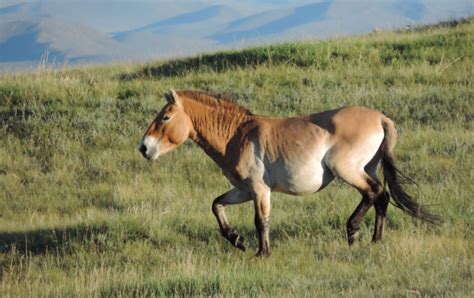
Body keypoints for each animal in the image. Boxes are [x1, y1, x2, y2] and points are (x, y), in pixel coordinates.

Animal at [140, 88, 440, 256]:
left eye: (165, 117)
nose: (144, 147)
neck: (237, 135)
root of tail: (381, 118)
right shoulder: (243, 190)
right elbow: (216, 205)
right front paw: (236, 240)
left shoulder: (259, 190)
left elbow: (261, 221)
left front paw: (262, 253)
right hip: (367, 168)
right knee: (383, 197)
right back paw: (376, 240)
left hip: (348, 170)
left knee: (374, 193)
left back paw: (353, 232)